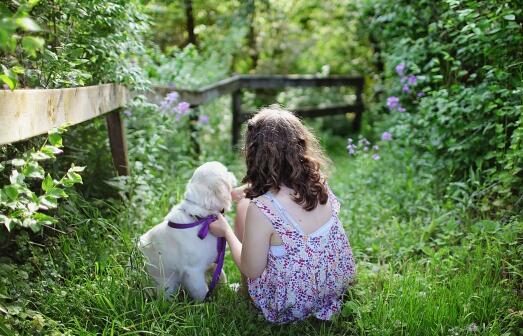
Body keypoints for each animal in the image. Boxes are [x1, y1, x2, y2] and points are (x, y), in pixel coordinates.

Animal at [139, 161, 237, 300]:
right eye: (226, 171)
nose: (233, 174)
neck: (201, 219)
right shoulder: (194, 271)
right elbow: (202, 292)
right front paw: (207, 303)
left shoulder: (214, 260)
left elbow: (221, 276)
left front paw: (230, 289)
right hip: (167, 285)